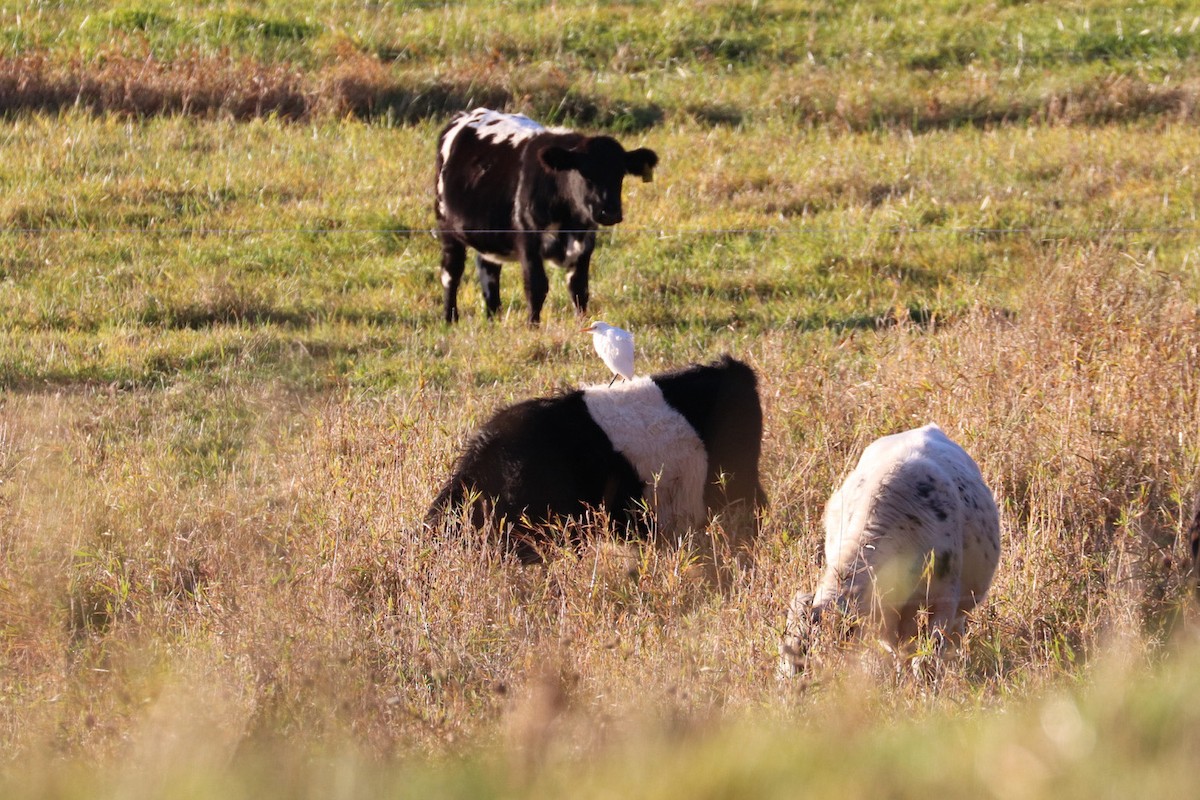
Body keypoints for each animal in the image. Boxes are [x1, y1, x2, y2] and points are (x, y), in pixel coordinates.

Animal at [434, 107, 659, 325]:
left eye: (620, 174)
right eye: (584, 172)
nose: (610, 213)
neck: (570, 222)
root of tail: (463, 115)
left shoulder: (586, 243)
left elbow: (579, 289)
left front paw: (582, 325)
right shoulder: (528, 242)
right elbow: (536, 287)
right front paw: (532, 327)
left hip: (489, 236)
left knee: (489, 274)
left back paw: (493, 321)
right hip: (446, 227)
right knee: (451, 273)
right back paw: (450, 319)